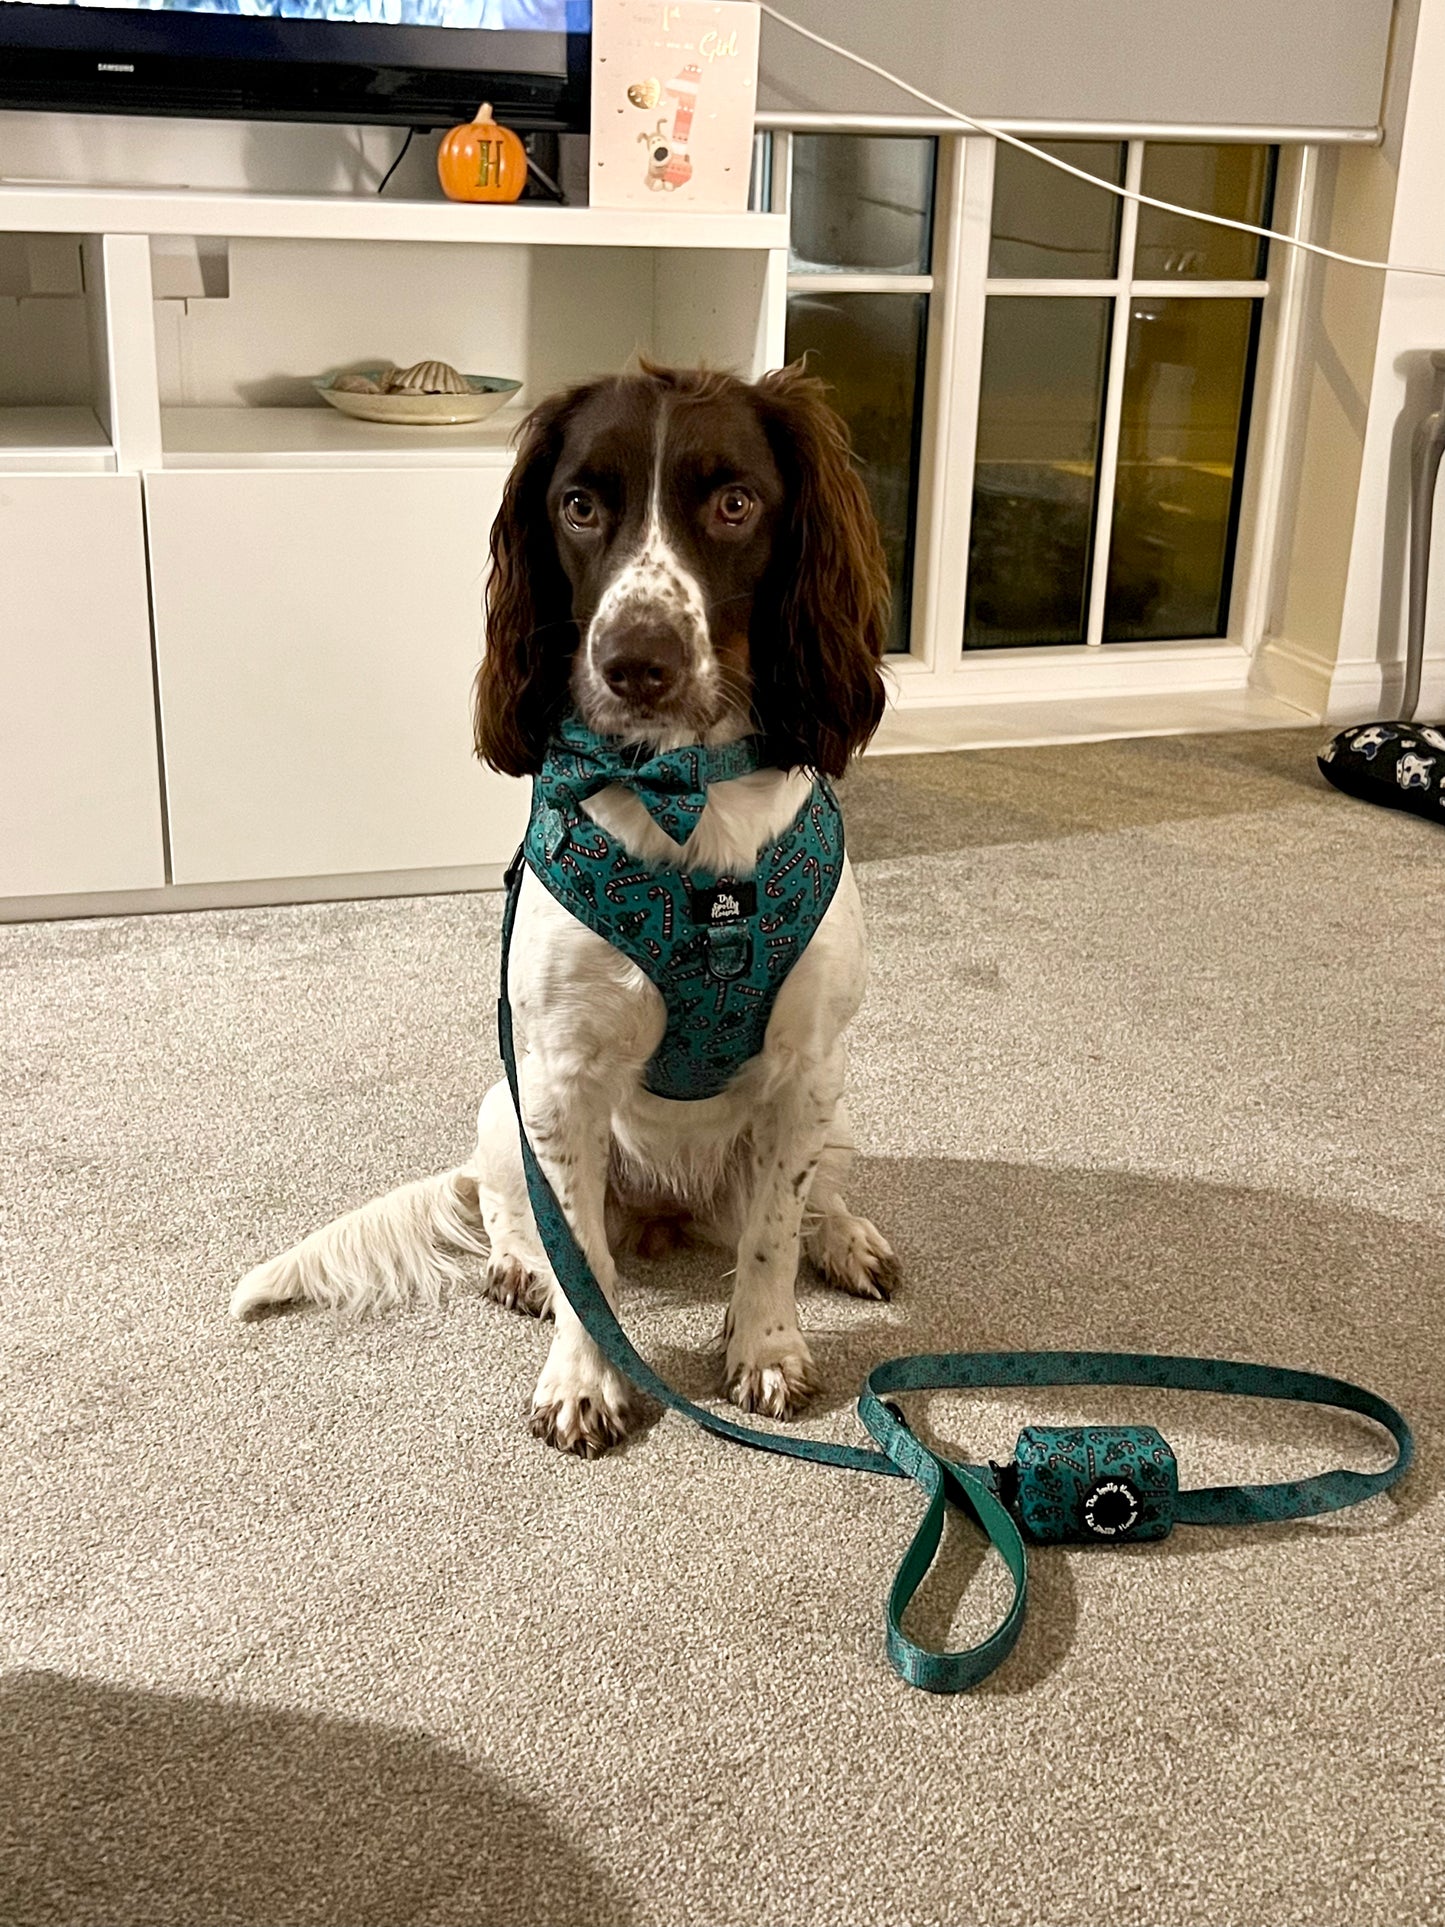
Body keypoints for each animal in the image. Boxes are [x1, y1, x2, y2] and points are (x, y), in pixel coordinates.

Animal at [232, 362, 901, 1449]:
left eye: (735, 502)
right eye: (579, 506)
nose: (635, 662)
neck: (685, 793)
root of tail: (671, 1209)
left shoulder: (806, 1065)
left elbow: (769, 1234)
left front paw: (764, 1348)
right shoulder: (560, 1073)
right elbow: (583, 1259)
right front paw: (584, 1379)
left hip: (828, 1103)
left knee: (799, 1201)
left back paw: (844, 1237)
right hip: (503, 1104)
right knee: (527, 1216)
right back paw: (520, 1268)